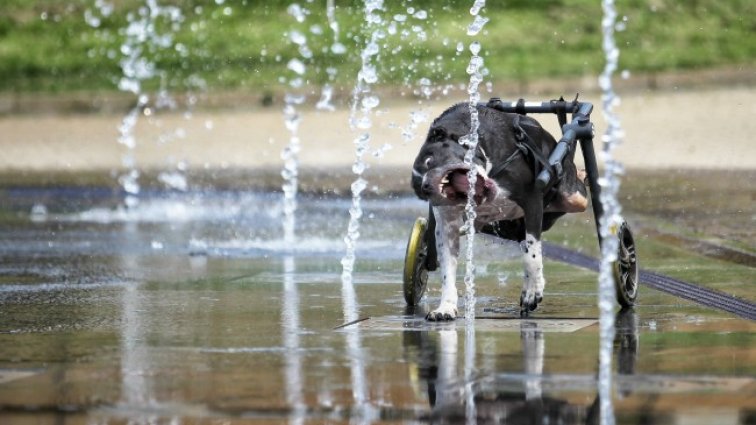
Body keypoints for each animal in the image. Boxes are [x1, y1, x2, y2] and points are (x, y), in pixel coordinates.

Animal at [410, 102, 588, 320]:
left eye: (429, 161)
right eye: (419, 190)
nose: (425, 187)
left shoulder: (532, 202)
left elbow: (532, 257)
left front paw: (534, 292)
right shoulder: (446, 226)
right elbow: (447, 270)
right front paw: (445, 307)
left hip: (572, 197)